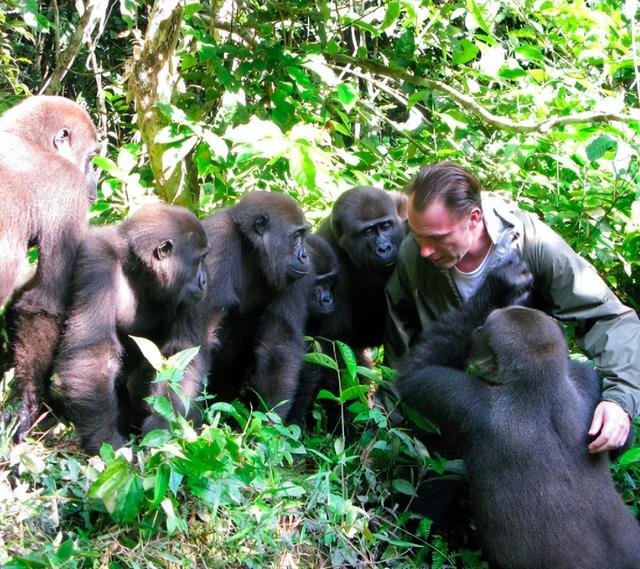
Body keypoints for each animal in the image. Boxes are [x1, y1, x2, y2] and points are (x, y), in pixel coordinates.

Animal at [52, 203, 211, 452]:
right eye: (198, 260)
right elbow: (94, 350)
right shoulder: (96, 257)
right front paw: (104, 438)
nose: (204, 281)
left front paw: (162, 425)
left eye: (205, 260)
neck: (140, 269)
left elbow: (183, 354)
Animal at [202, 193, 312, 420]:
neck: (252, 248)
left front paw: (270, 421)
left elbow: (278, 344)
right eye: (296, 236)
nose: (305, 256)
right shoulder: (218, 242)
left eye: (303, 236)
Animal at [398, 266, 636, 564]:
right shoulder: (585, 378)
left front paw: (496, 288)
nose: (477, 331)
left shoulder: (464, 400)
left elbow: (413, 374)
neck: (540, 381)